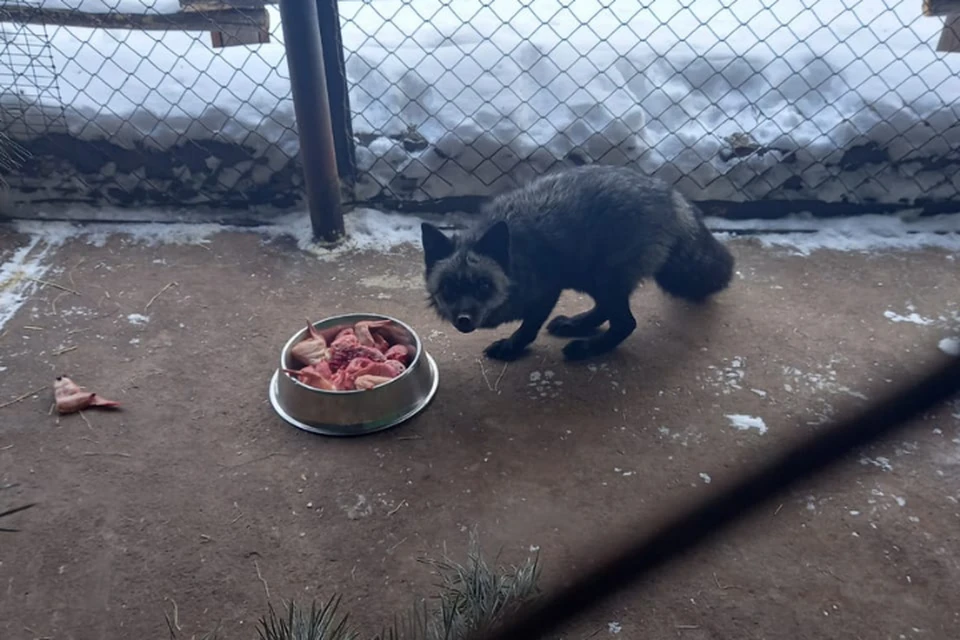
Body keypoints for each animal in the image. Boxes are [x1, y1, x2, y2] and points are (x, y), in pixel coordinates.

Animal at [420, 162, 736, 362]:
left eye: (484, 285)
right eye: (449, 288)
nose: (463, 319)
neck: (516, 259)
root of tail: (672, 196)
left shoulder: (548, 290)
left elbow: (529, 327)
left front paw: (511, 347)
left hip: (602, 275)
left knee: (626, 323)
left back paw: (586, 349)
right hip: (592, 276)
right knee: (606, 311)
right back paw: (577, 324)